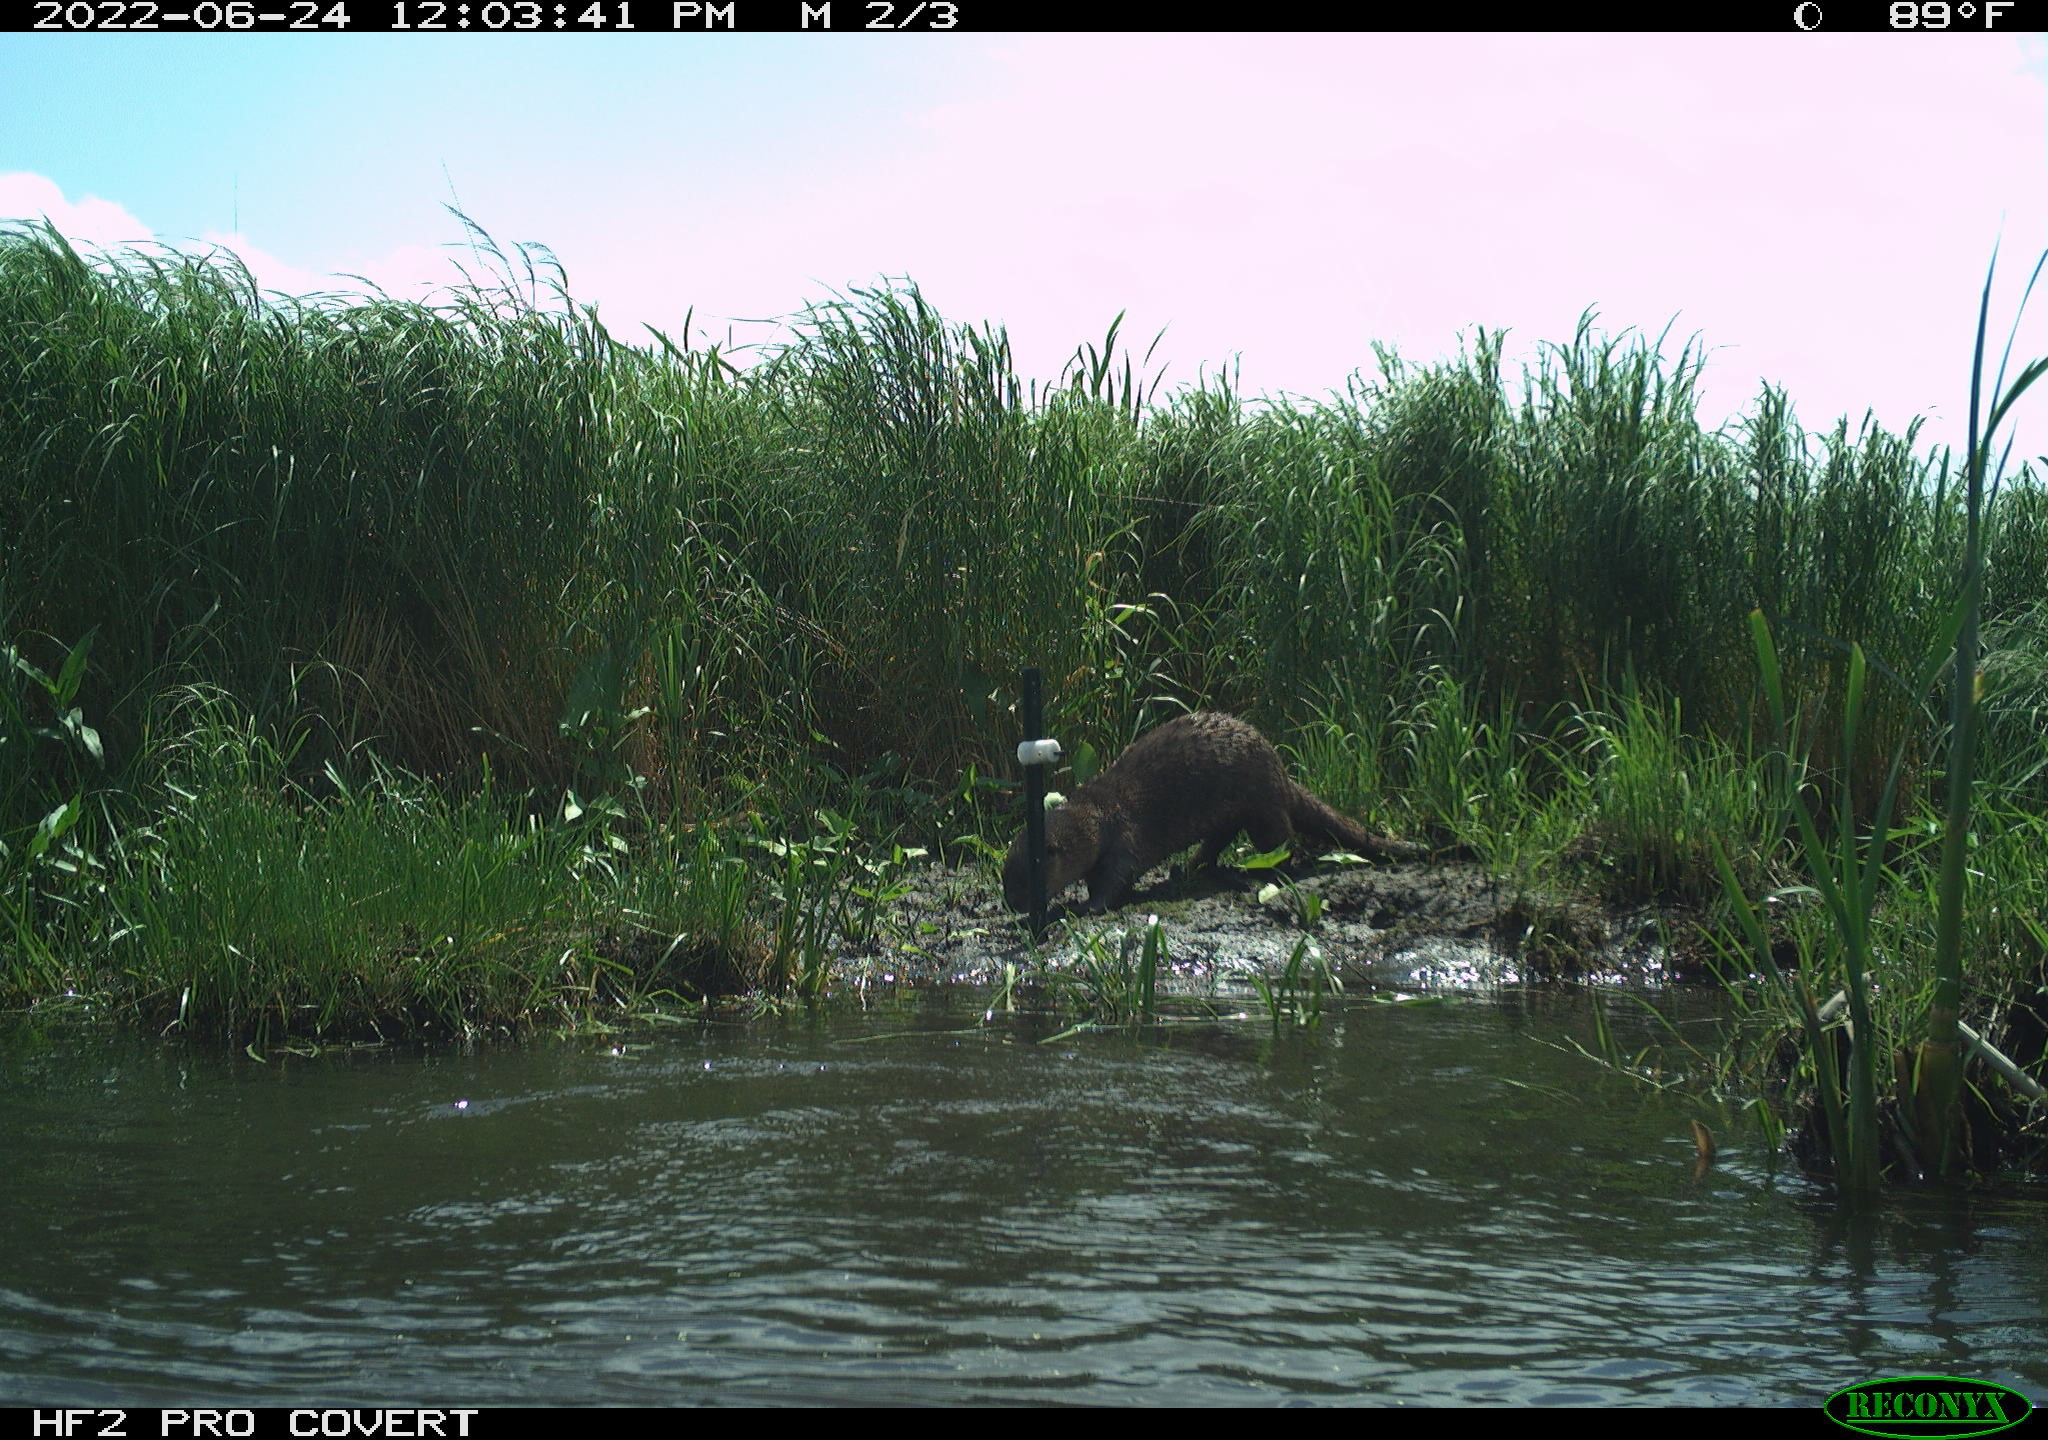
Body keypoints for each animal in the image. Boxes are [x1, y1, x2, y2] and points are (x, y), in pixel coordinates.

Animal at [1002, 711, 1417, 914]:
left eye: (1027, 876)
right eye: (1005, 874)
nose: (1011, 903)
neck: (1098, 818)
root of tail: (1278, 768)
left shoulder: (1122, 841)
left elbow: (1117, 879)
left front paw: (1087, 906)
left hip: (1260, 802)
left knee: (1282, 840)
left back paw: (1261, 870)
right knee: (1219, 840)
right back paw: (1192, 866)